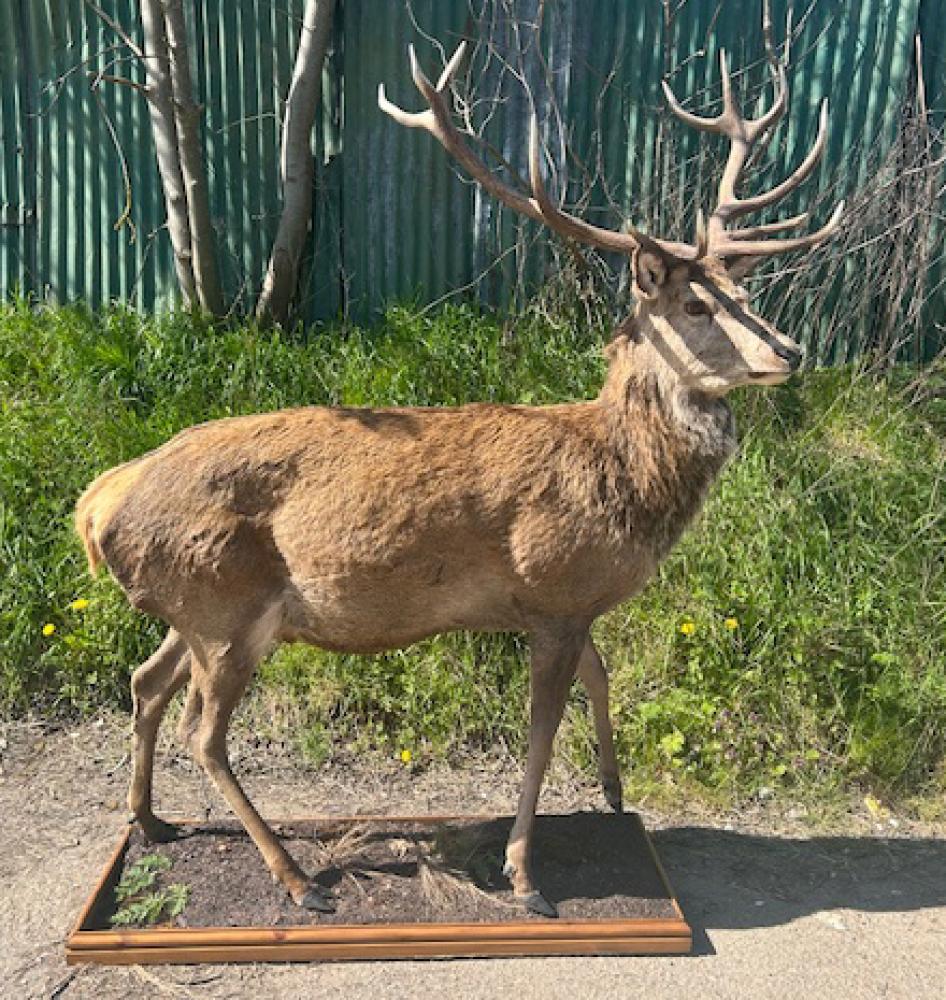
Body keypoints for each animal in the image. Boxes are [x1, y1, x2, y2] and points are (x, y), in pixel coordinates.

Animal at [75, 32, 842, 919]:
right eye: (695, 307)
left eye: (745, 292)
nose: (791, 351)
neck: (621, 481)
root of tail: (97, 506)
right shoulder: (554, 588)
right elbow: (540, 739)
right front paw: (525, 875)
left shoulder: (571, 606)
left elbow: (603, 679)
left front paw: (616, 794)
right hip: (227, 606)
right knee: (203, 731)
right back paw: (296, 879)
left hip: (195, 607)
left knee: (145, 682)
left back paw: (149, 820)